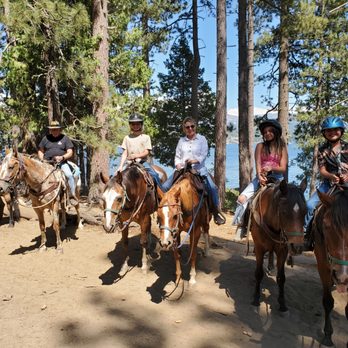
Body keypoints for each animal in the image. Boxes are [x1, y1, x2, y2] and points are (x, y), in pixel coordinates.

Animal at [250, 178, 308, 312]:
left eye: (305, 212)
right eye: (284, 211)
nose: (297, 247)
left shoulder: (283, 251)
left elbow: (281, 277)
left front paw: (282, 303)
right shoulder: (259, 248)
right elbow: (258, 273)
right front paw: (256, 298)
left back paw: (271, 267)